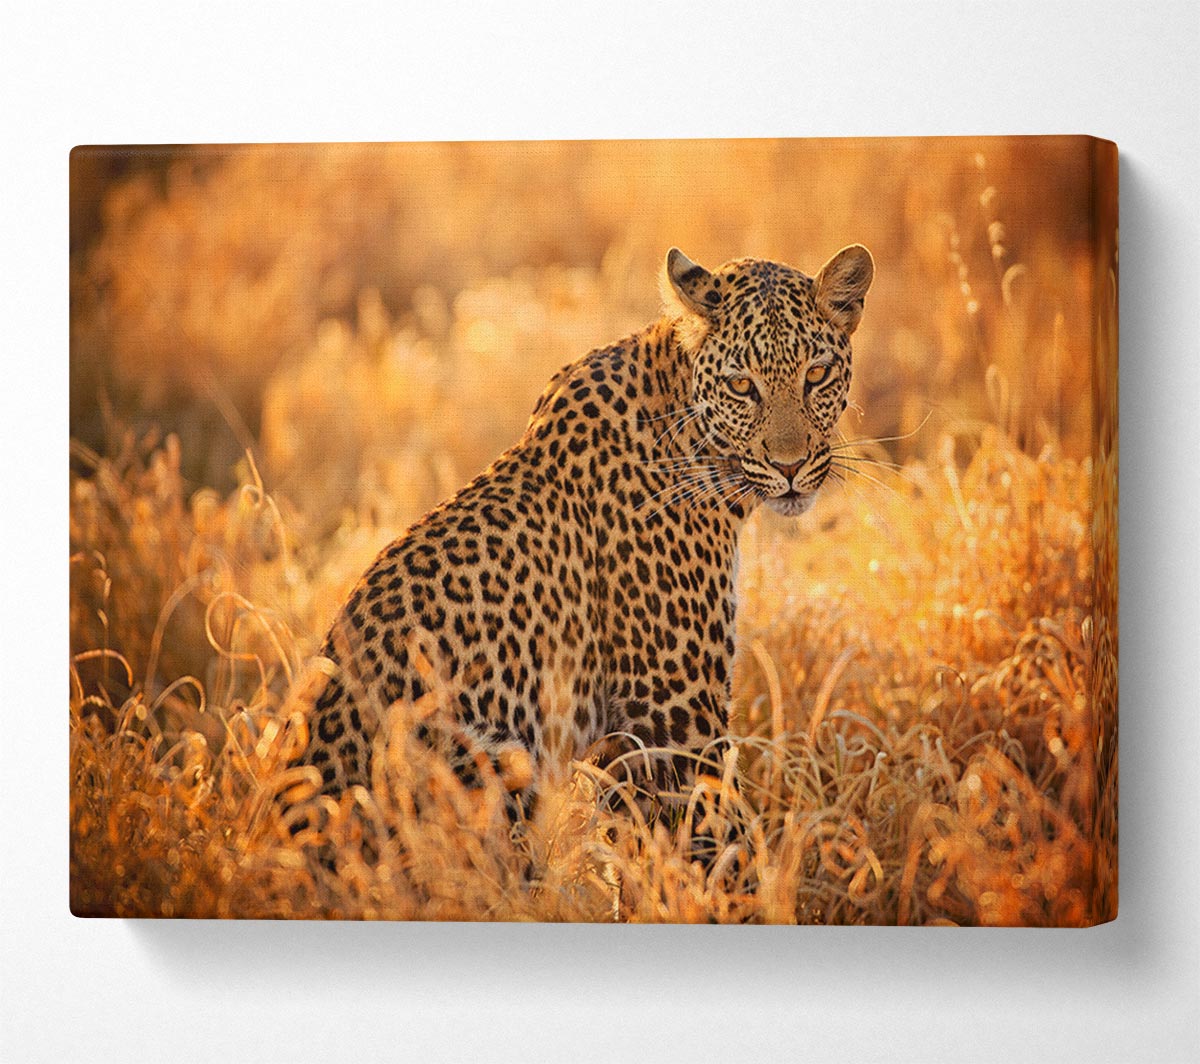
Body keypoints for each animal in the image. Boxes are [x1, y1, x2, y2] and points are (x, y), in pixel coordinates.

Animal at [292, 243, 874, 836]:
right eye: (741, 386)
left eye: (817, 375)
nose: (790, 466)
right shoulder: (677, 720)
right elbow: (718, 838)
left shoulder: (626, 741)